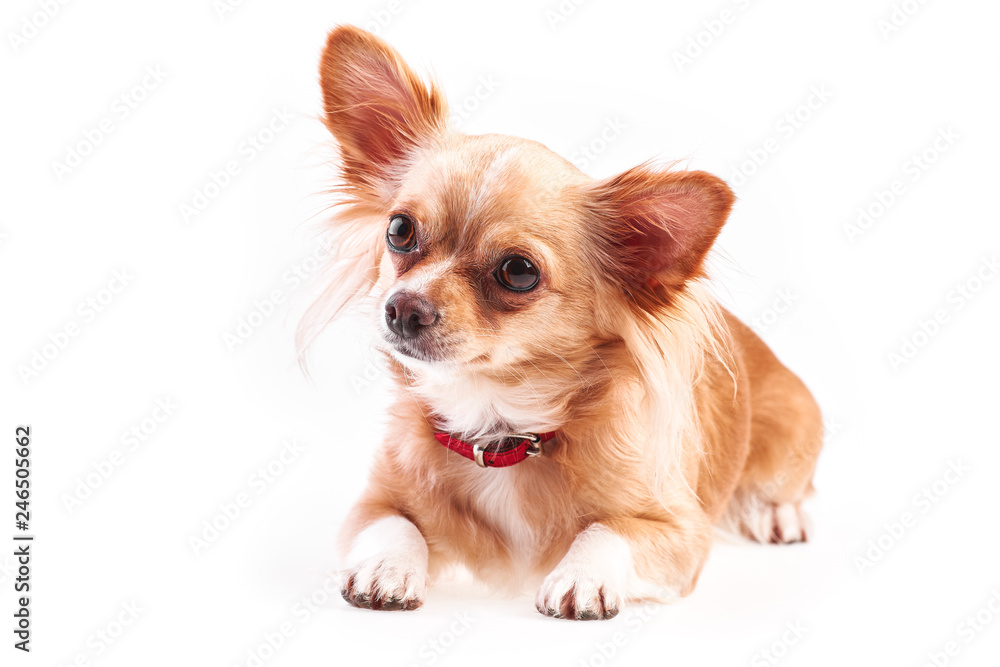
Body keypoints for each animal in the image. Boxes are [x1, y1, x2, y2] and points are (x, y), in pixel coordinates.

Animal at [302, 26, 820, 620]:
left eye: (518, 271)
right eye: (399, 230)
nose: (403, 307)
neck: (498, 429)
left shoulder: (681, 532)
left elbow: (609, 531)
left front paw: (581, 576)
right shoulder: (373, 500)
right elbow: (391, 524)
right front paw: (387, 567)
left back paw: (779, 514)